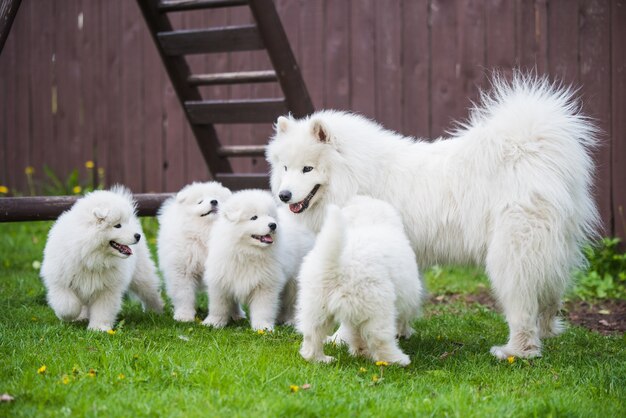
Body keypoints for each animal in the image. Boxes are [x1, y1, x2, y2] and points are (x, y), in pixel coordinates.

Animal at [39, 185, 163, 332]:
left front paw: (98, 328)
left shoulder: (107, 288)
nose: (138, 236)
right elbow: (68, 306)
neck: (91, 257)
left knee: (150, 292)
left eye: (125, 223)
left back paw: (155, 311)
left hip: (141, 275)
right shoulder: (61, 281)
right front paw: (73, 316)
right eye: (117, 225)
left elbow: (103, 310)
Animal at [158, 181, 232, 322]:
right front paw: (184, 316)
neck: (205, 234)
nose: (214, 201)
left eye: (217, 198)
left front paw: (236, 314)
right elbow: (184, 295)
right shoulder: (182, 270)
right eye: (200, 202)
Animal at [201, 189, 310, 330]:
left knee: (293, 303)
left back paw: (291, 321)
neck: (246, 252)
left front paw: (263, 327)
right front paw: (213, 323)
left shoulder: (265, 284)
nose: (273, 225)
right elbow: (218, 305)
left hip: (294, 281)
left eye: (270, 216)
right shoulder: (220, 281)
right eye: (254, 217)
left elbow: (263, 309)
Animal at [266, 72, 596, 360]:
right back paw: (547, 333)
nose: (283, 195)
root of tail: (532, 149)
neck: (358, 173)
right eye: (285, 167)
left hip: (512, 253)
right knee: (549, 297)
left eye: (308, 168)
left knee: (522, 307)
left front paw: (341, 338)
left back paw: (516, 351)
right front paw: (398, 330)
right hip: (549, 249)